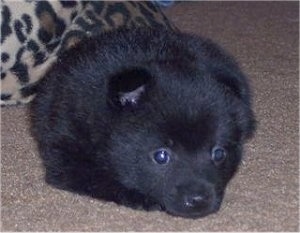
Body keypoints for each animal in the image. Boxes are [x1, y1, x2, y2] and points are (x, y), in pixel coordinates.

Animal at [31, 27, 255, 218]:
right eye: (161, 156)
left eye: (219, 153)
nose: (198, 200)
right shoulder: (65, 157)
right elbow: (100, 178)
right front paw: (138, 197)